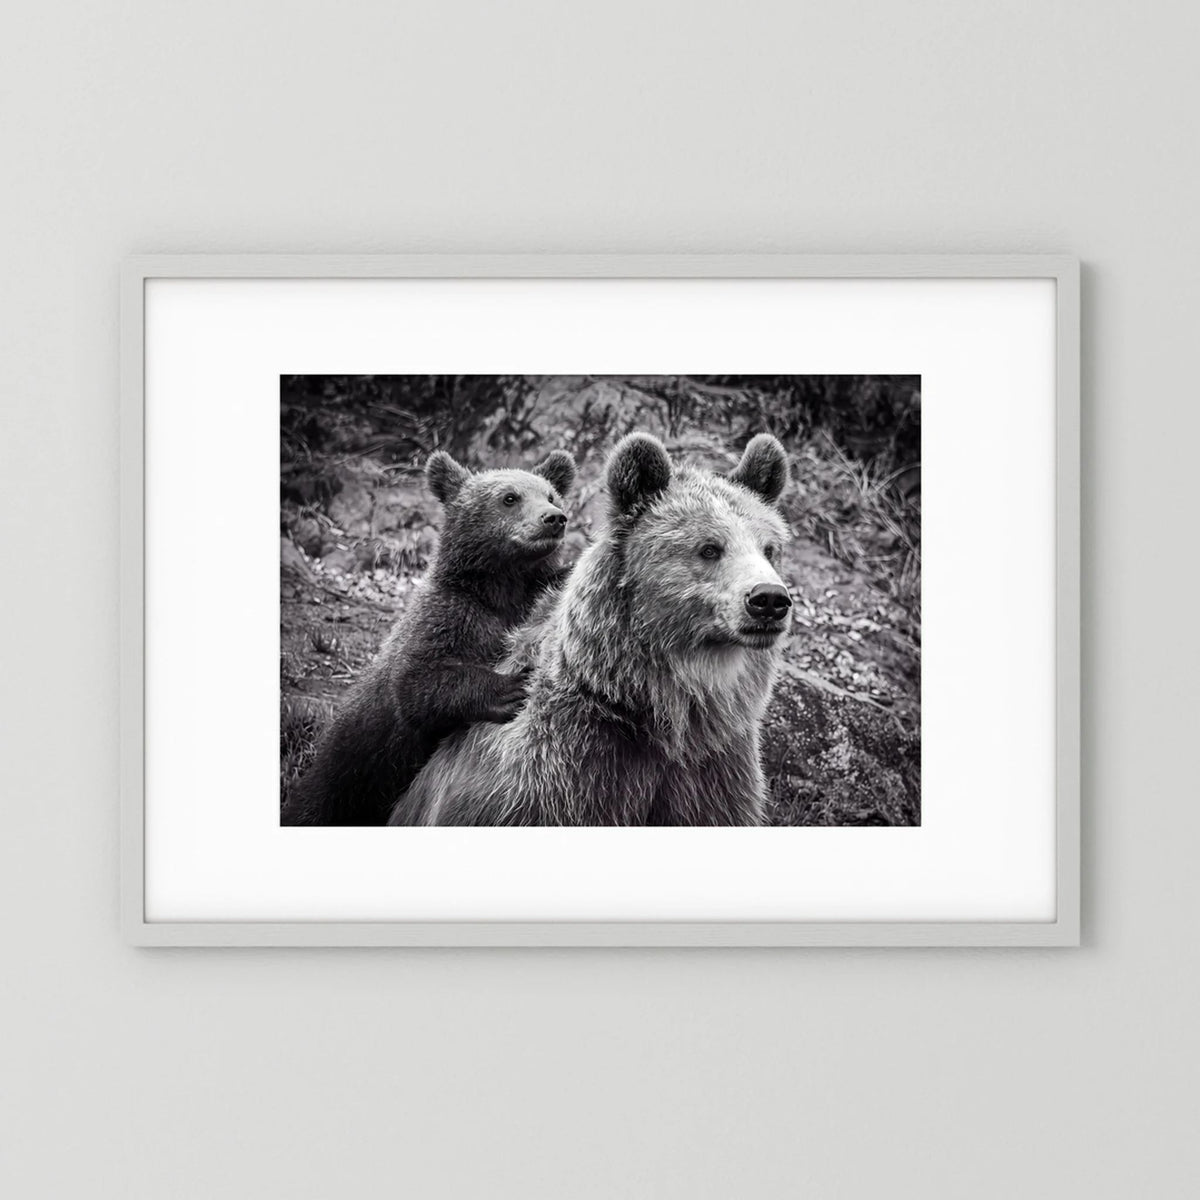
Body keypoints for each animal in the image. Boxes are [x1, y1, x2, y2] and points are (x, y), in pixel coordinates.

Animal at [282, 446, 577, 826]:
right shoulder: (448, 616)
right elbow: (416, 683)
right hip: (348, 777)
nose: (554, 518)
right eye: (510, 497)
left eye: (551, 494)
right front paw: (510, 687)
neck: (500, 589)